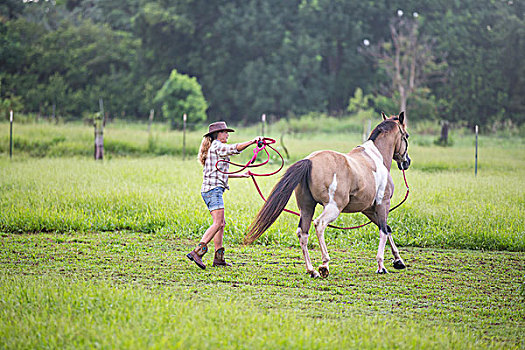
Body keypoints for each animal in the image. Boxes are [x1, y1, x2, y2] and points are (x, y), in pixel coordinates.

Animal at [244, 110, 412, 278]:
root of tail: (309, 160)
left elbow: (387, 229)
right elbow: (383, 231)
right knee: (320, 224)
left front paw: (398, 261)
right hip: (333, 208)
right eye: (407, 135)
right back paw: (324, 264)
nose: (407, 162)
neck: (376, 157)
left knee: (303, 233)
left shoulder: (369, 210)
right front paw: (381, 265)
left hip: (306, 208)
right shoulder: (383, 204)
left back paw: (311, 270)